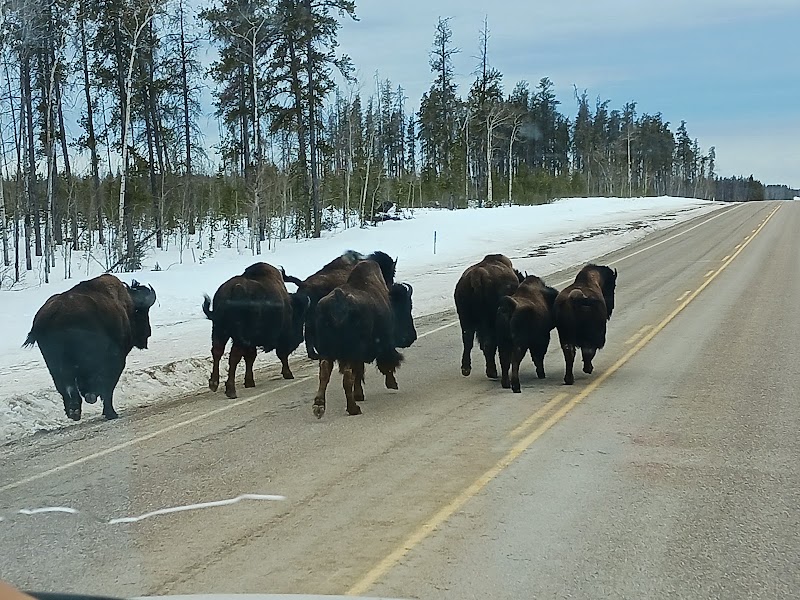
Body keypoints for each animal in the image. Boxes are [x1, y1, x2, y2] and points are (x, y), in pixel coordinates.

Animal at [23, 274, 157, 421]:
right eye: (142, 312)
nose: (148, 333)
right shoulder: (116, 360)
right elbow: (108, 386)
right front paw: (110, 413)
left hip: (54, 362)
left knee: (65, 386)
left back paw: (74, 412)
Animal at [202, 262, 310, 399]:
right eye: (299, 319)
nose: (300, 338)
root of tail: (233, 290)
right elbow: (280, 355)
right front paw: (288, 374)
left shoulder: (250, 342)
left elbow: (250, 358)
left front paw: (249, 382)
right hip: (237, 336)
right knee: (234, 357)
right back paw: (231, 390)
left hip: (220, 330)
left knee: (217, 352)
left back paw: (214, 384)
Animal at [312, 260, 417, 418]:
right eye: (406, 307)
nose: (411, 337)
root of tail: (339, 300)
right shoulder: (384, 344)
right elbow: (385, 364)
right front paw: (392, 384)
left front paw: (359, 394)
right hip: (349, 352)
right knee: (347, 376)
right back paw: (353, 409)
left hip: (326, 351)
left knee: (324, 374)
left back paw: (319, 407)